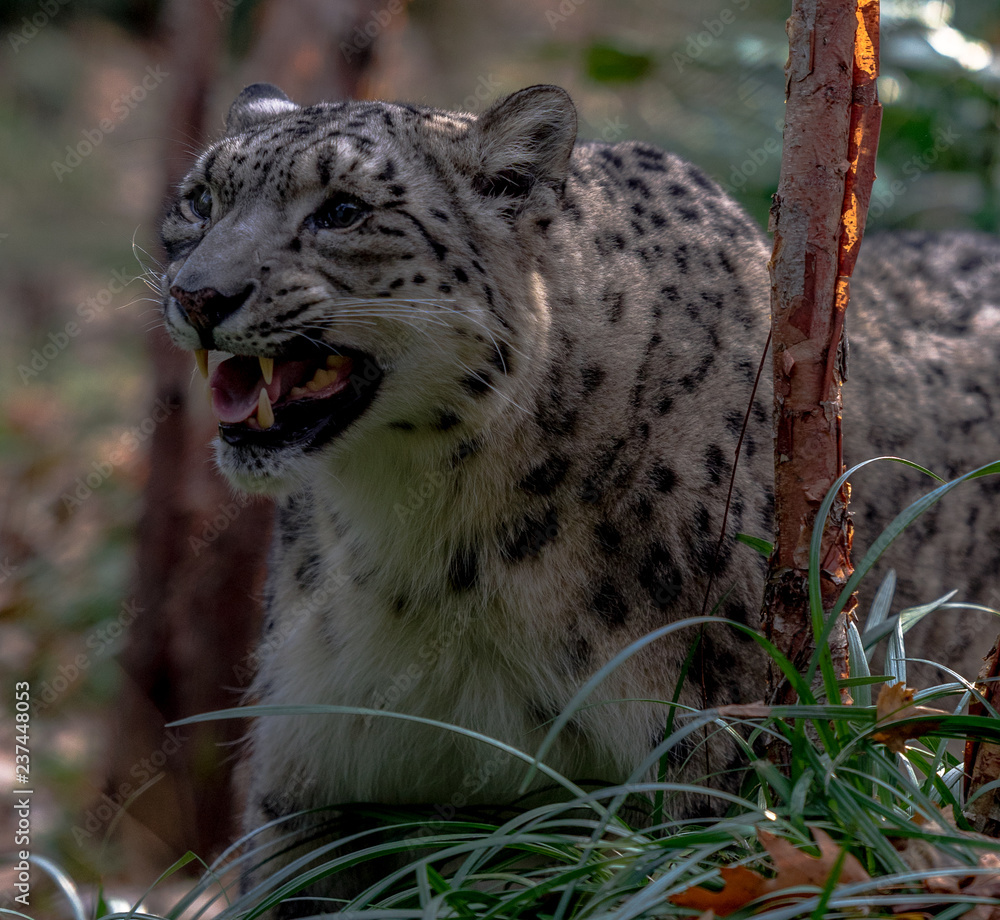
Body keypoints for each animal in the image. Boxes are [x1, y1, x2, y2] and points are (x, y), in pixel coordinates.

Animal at [159, 82, 1000, 914]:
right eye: (201, 199)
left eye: (342, 210)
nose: (197, 295)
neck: (432, 548)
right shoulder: (307, 775)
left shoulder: (705, 753)